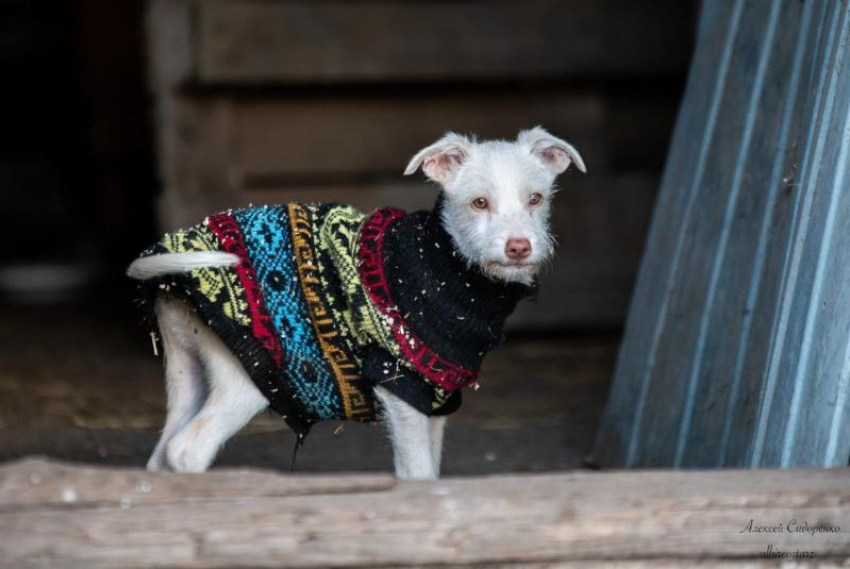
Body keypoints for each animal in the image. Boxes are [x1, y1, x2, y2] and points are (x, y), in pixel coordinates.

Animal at [127, 126, 584, 478]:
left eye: (536, 199)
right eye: (479, 203)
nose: (519, 248)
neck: (445, 263)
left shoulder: (435, 402)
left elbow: (427, 473)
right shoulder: (400, 384)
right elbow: (418, 474)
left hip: (188, 372)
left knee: (160, 457)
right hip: (242, 376)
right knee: (187, 449)